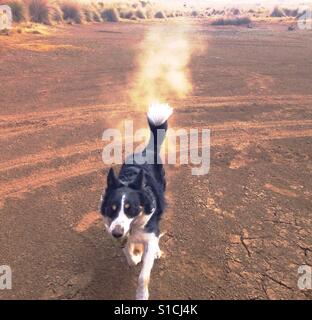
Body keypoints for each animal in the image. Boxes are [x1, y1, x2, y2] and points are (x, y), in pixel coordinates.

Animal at [100, 103, 173, 300]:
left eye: (130, 208)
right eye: (112, 208)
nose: (116, 234)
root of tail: (147, 150)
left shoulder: (148, 231)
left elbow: (143, 276)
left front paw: (142, 295)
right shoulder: (118, 231)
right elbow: (129, 253)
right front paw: (135, 256)